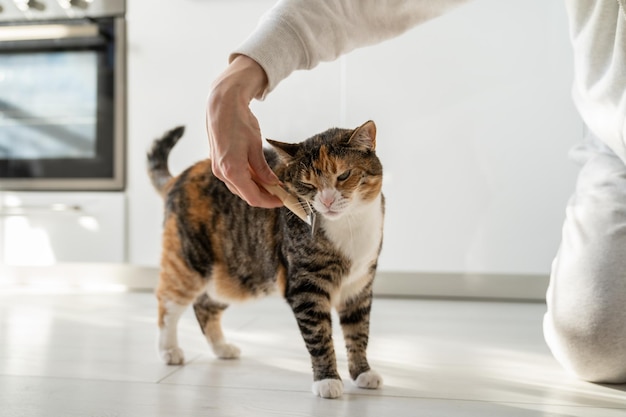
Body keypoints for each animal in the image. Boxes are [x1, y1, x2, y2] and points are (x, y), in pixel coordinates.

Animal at [147, 119, 380, 396]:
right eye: (308, 185)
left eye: (343, 175)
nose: (327, 201)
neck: (350, 225)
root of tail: (180, 177)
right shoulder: (305, 287)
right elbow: (319, 335)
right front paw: (327, 380)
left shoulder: (359, 285)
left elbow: (359, 331)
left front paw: (362, 372)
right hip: (189, 262)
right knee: (168, 302)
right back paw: (169, 350)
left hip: (238, 274)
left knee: (205, 305)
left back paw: (222, 348)